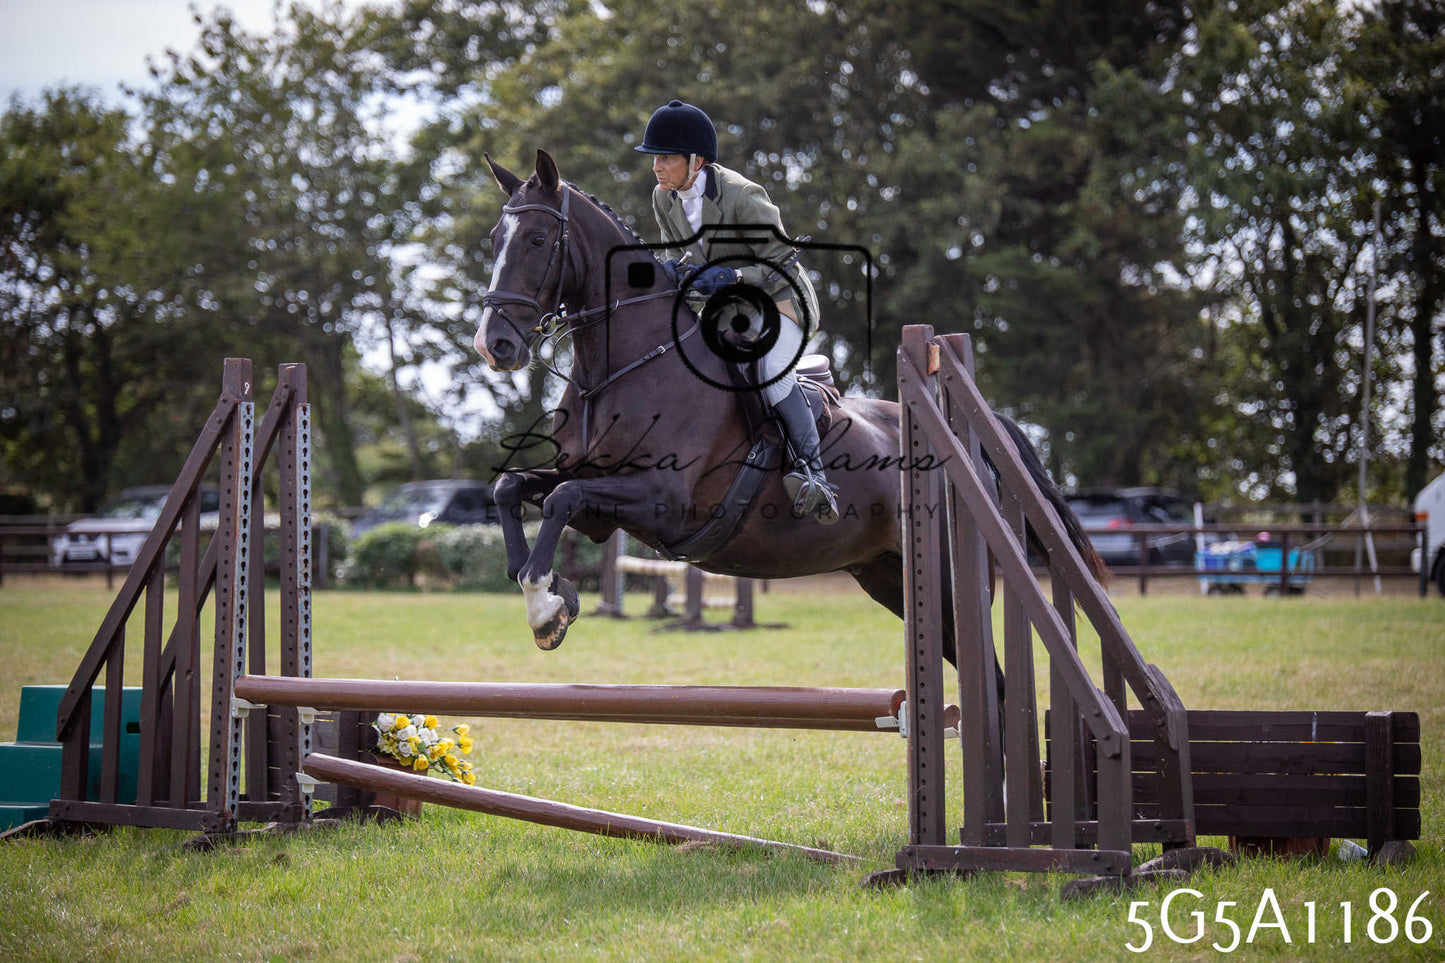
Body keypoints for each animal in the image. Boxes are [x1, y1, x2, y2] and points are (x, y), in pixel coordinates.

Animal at [474, 149, 1105, 653]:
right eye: (494, 242)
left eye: (536, 240)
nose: (493, 344)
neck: (623, 364)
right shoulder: (595, 491)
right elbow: (514, 488)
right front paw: (543, 588)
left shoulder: (661, 499)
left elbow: (561, 499)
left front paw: (545, 606)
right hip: (886, 576)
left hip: (945, 581)